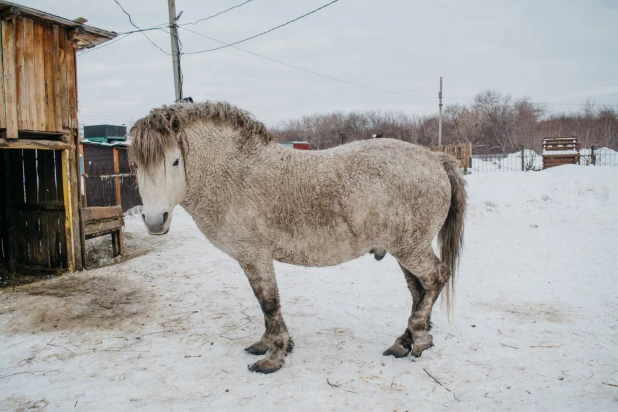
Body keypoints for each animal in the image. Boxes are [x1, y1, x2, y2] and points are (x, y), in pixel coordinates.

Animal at [131, 100, 466, 374]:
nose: (154, 220)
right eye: (135, 165)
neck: (235, 174)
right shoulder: (252, 260)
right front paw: (266, 344)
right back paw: (404, 341)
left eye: (175, 161)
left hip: (410, 248)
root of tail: (435, 158)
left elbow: (269, 303)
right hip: (405, 249)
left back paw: (419, 339)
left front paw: (274, 356)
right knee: (419, 290)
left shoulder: (255, 256)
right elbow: (264, 304)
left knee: (436, 278)